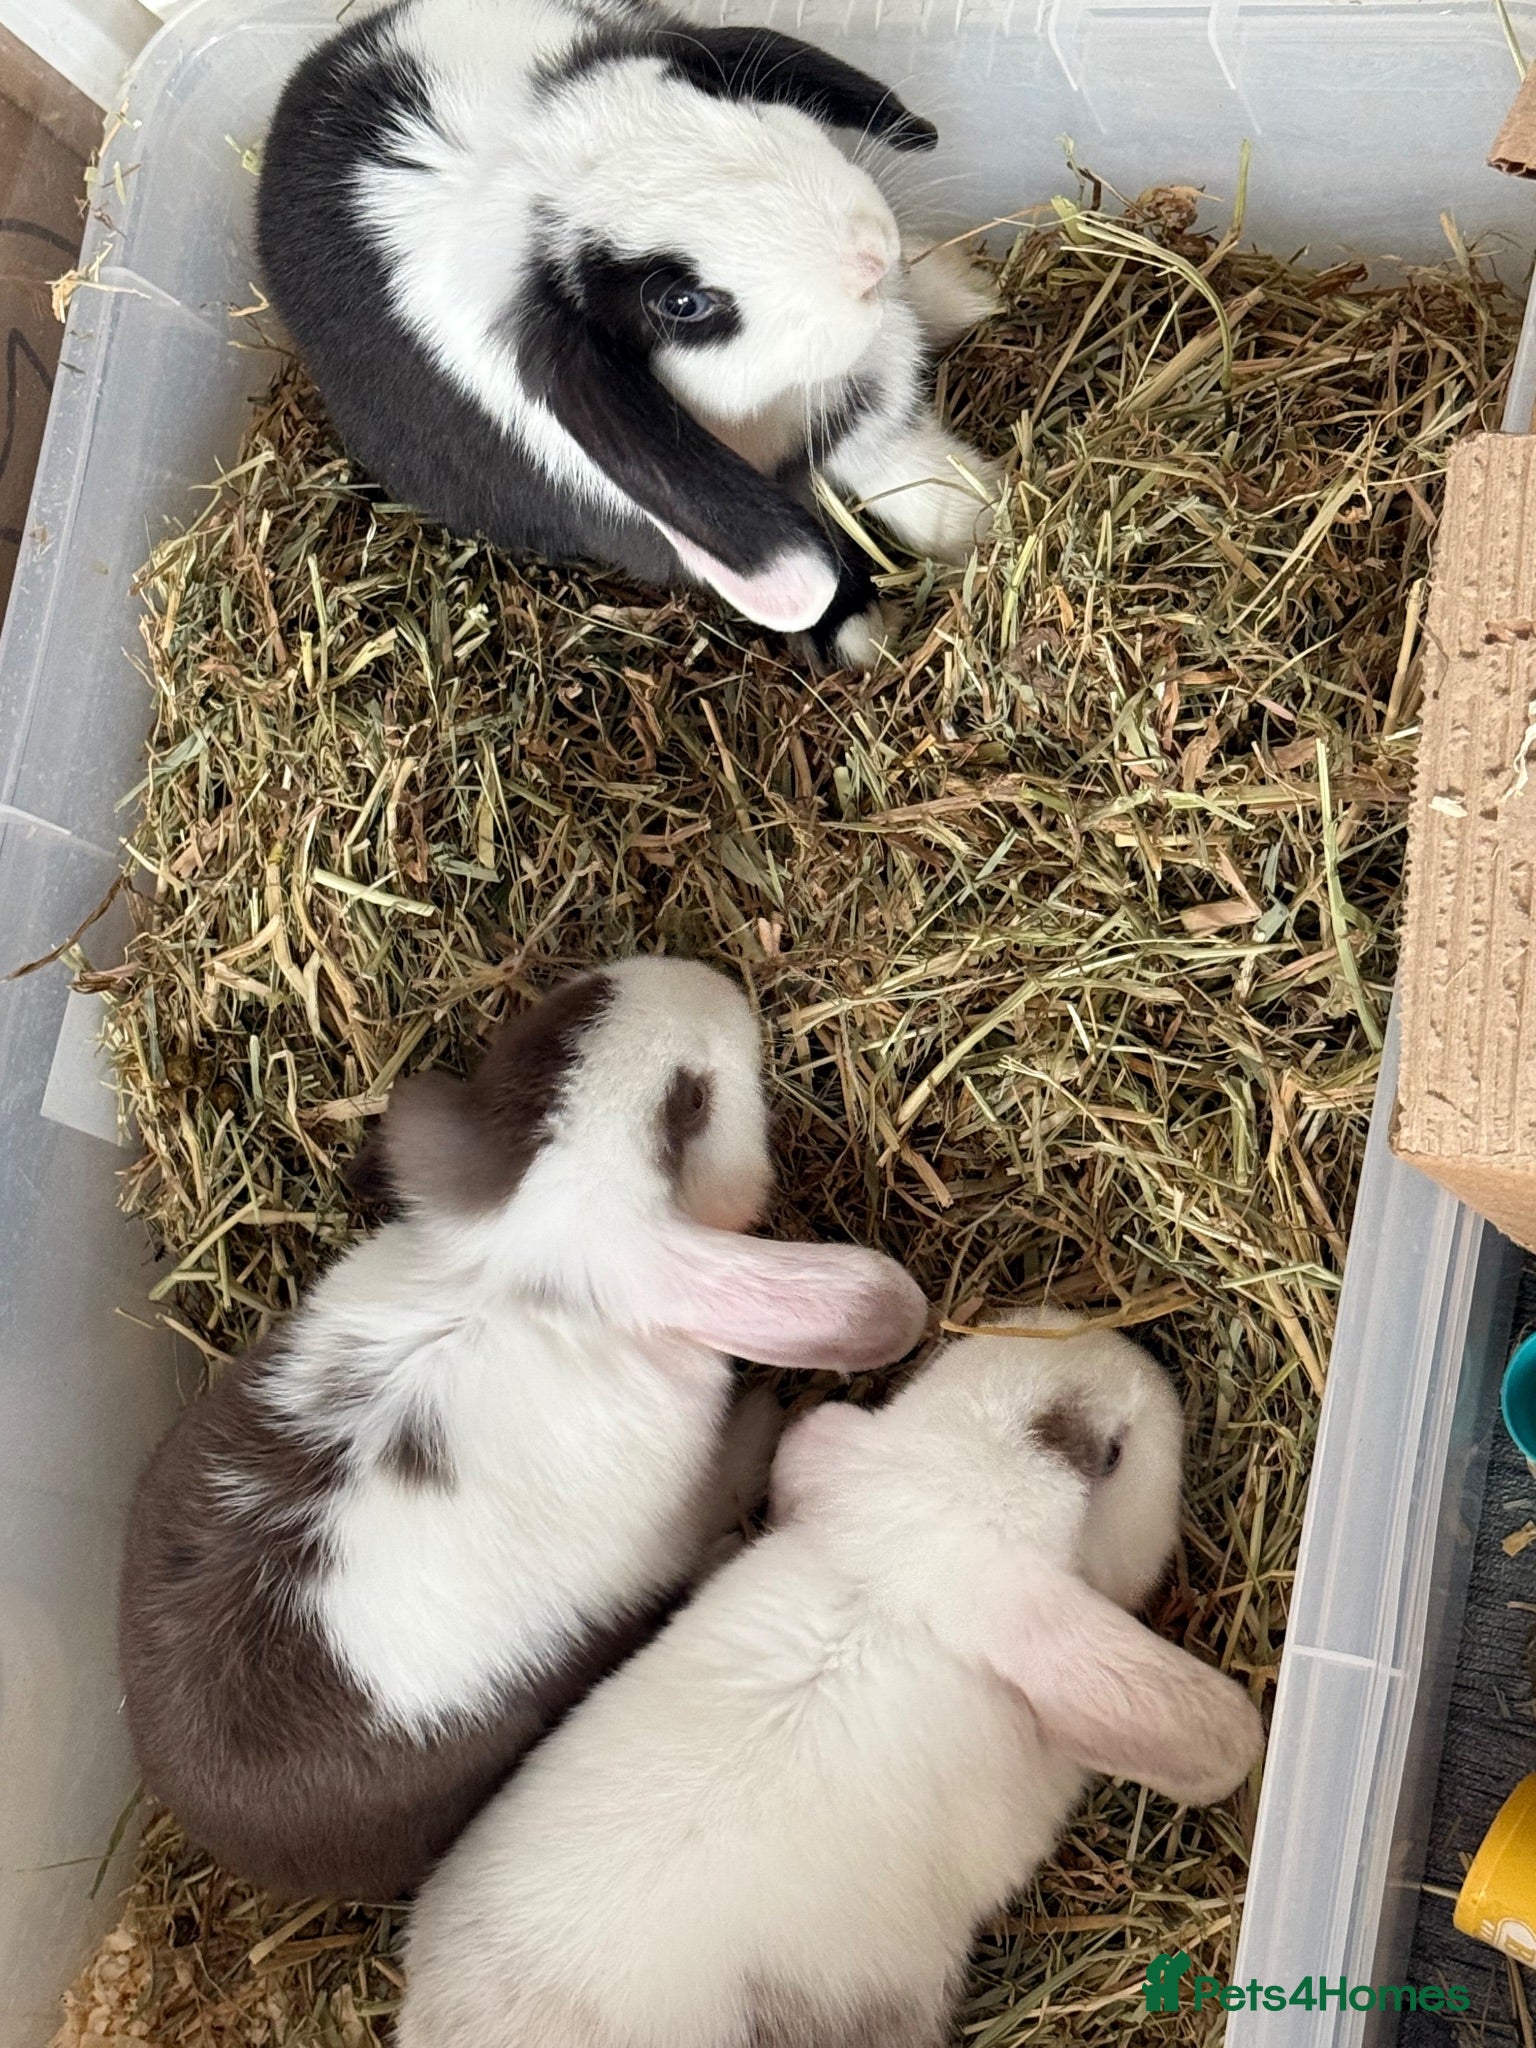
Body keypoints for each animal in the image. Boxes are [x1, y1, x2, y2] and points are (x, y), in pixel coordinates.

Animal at [118, 957, 928, 1902]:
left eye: (563, 1026)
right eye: (687, 1103)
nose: (703, 975)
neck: (524, 1269)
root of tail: (220, 1834)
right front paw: (768, 1413)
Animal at [255, 0, 1002, 670]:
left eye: (710, 95)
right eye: (680, 303)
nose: (870, 253)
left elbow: (901, 463)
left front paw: (981, 514)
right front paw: (865, 633)